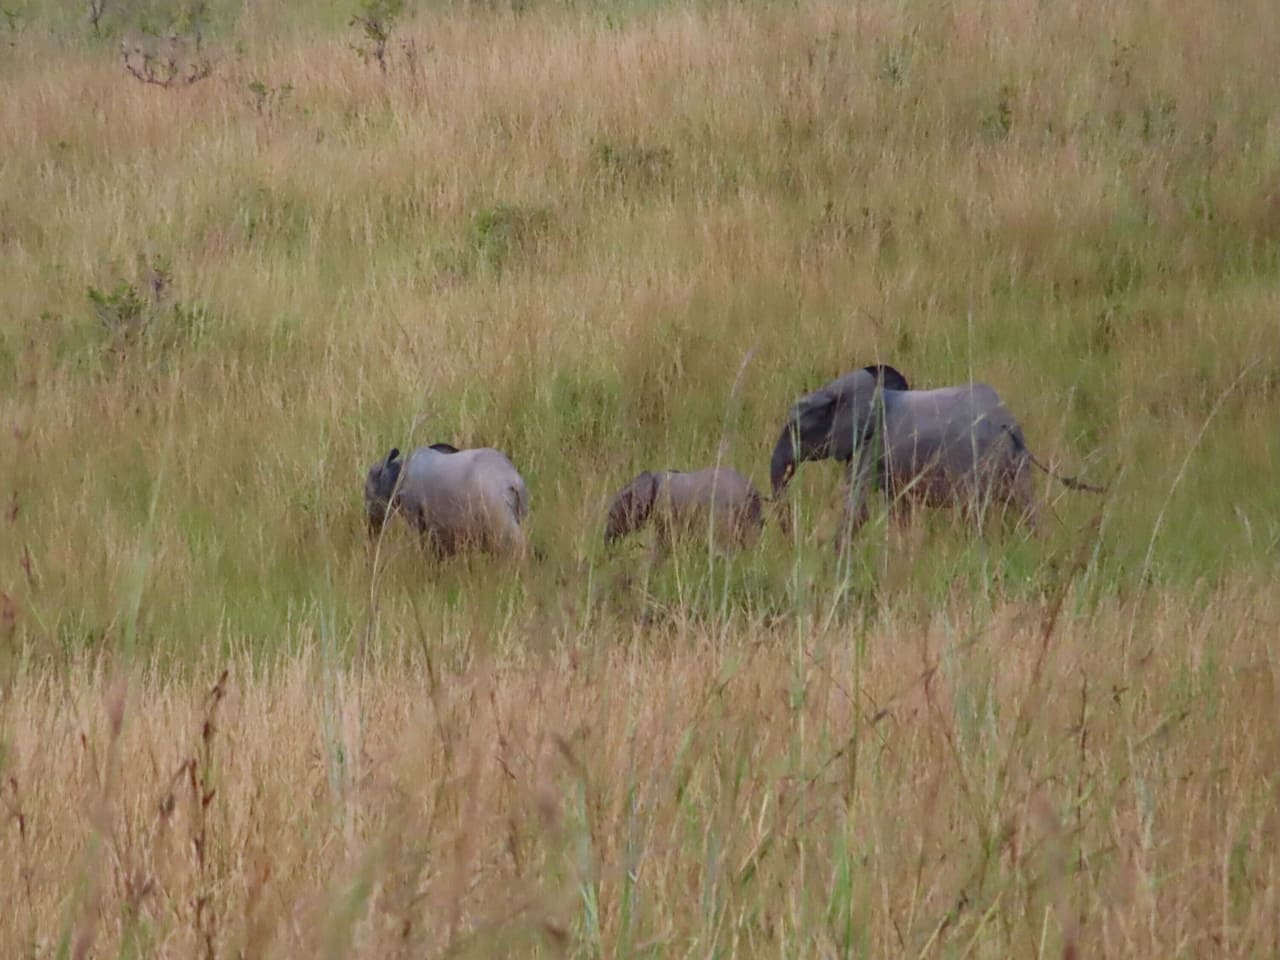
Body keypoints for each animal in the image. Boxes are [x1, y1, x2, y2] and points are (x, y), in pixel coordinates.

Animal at [762, 363, 1105, 542]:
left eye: (795, 427)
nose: (790, 537)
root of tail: (1007, 423)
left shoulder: (870, 447)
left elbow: (856, 507)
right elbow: (897, 508)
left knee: (975, 511)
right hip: (1015, 464)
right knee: (1025, 505)